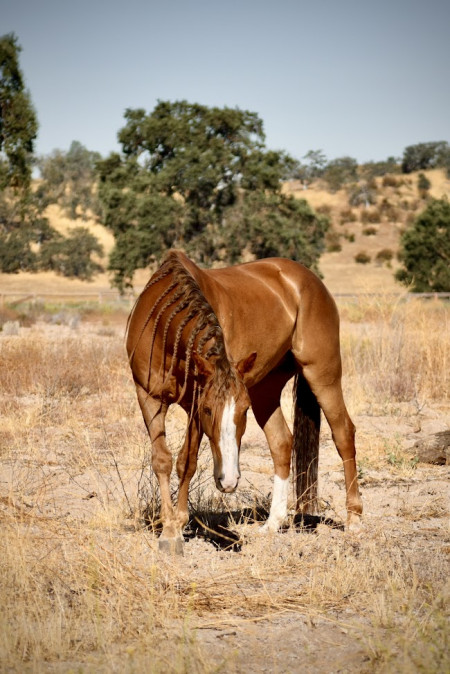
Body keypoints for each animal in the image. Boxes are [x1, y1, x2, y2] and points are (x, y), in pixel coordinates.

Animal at [125, 249, 362, 548]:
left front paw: (177, 524)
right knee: (281, 443)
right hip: (265, 388)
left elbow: (186, 462)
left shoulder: (191, 404)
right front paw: (169, 529)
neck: (166, 326)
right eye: (208, 409)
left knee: (343, 433)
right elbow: (162, 460)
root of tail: (310, 281)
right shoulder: (150, 398)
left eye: (243, 410)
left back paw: (354, 520)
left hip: (322, 374)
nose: (228, 481)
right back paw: (273, 524)